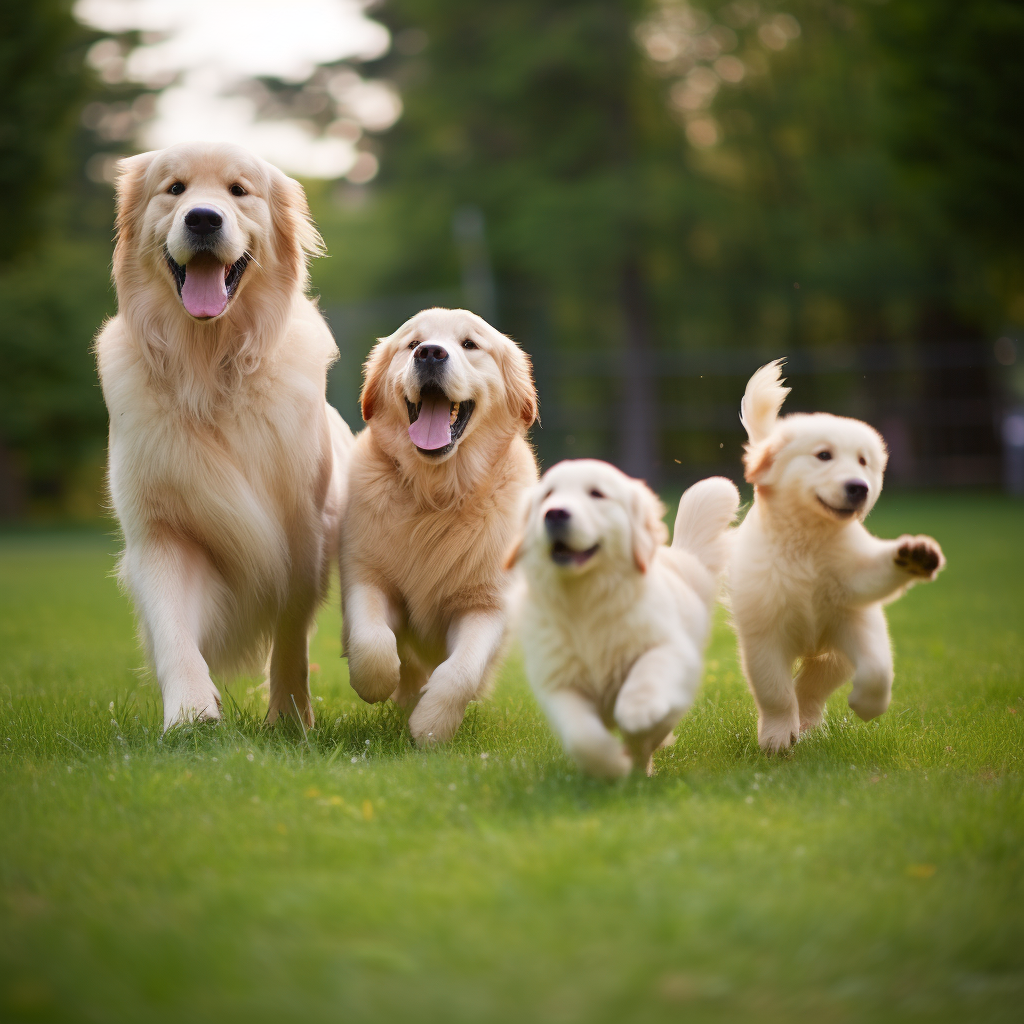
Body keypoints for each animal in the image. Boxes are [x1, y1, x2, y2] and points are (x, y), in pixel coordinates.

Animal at [96, 142, 352, 729]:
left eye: (239, 191)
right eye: (175, 189)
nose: (203, 218)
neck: (209, 369)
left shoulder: (302, 532)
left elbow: (291, 635)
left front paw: (289, 719)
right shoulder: (161, 530)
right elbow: (174, 628)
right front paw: (191, 714)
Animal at [342, 303, 540, 745]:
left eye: (469, 344)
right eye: (412, 343)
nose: (430, 353)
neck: (437, 496)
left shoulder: (487, 603)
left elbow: (461, 671)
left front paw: (431, 724)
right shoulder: (366, 575)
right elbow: (372, 640)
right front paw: (376, 683)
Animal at [507, 460, 741, 778]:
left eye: (597, 494)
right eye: (548, 495)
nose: (554, 513)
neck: (584, 599)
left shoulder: (672, 648)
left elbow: (649, 668)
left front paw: (637, 710)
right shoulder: (557, 681)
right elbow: (582, 737)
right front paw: (613, 765)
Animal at [729, 360, 942, 753]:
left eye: (862, 461)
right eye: (823, 455)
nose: (859, 488)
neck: (808, 542)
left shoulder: (853, 606)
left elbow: (877, 669)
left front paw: (915, 555)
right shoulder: (764, 634)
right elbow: (775, 692)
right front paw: (777, 738)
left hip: (834, 653)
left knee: (812, 687)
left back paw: (809, 724)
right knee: (796, 690)